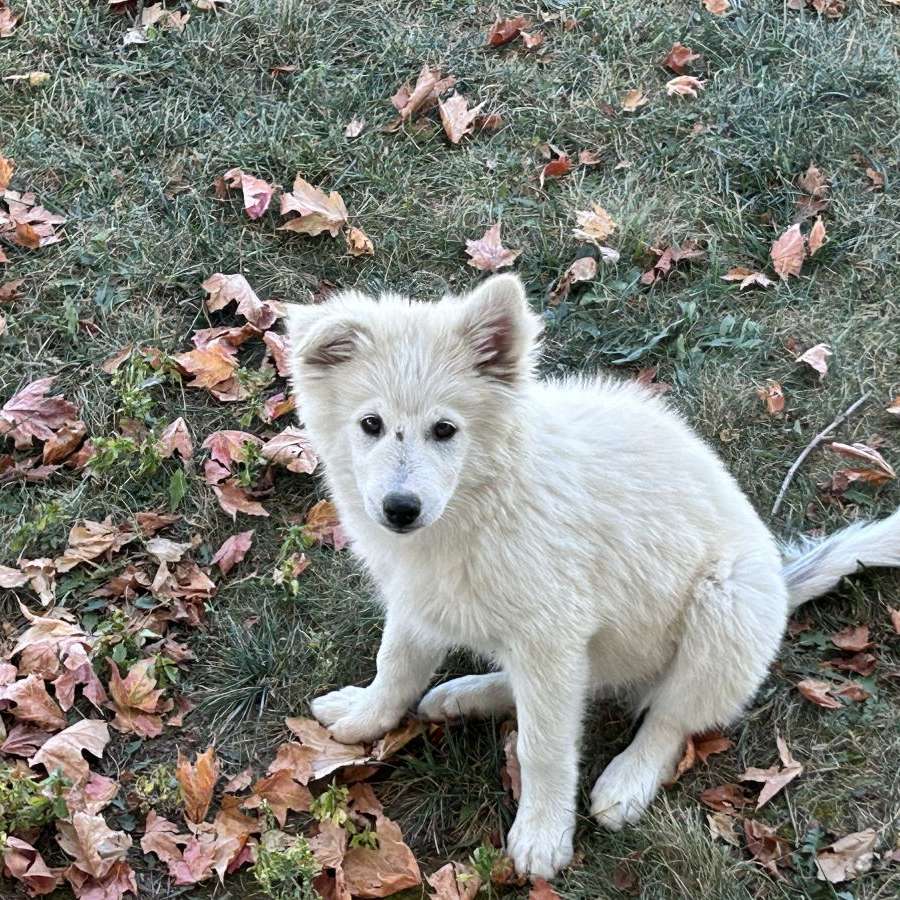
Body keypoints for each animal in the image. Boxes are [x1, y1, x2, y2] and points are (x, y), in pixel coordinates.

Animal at [284, 274, 900, 880]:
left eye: (445, 430)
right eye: (371, 425)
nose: (400, 510)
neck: (480, 502)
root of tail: (779, 578)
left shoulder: (551, 635)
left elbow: (543, 746)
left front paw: (542, 836)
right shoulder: (422, 602)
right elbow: (396, 665)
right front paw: (367, 716)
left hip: (724, 606)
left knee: (670, 717)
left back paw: (628, 778)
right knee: (585, 686)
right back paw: (468, 695)